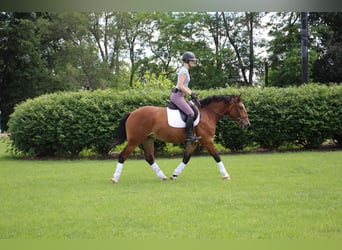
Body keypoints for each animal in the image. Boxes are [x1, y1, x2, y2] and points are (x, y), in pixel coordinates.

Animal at [111, 94, 250, 184]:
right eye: (241, 107)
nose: (247, 124)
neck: (207, 114)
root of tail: (132, 113)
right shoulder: (207, 140)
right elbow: (217, 156)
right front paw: (226, 175)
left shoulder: (194, 142)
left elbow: (186, 158)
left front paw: (174, 175)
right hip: (134, 141)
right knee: (123, 156)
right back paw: (115, 178)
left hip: (148, 139)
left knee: (150, 158)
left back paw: (163, 176)